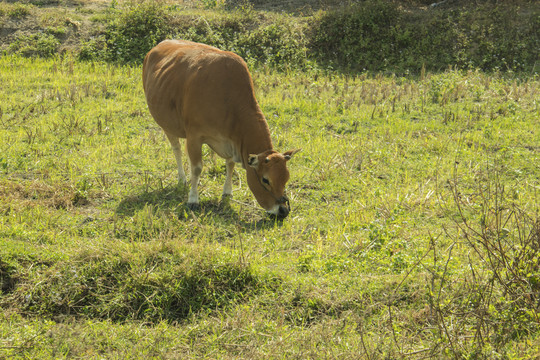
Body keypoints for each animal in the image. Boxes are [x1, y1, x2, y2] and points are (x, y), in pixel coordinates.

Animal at [141, 40, 300, 218]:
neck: (228, 99)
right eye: (266, 180)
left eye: (286, 178)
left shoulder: (231, 140)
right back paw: (182, 179)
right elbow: (196, 168)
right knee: (177, 150)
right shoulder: (194, 136)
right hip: (167, 125)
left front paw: (227, 192)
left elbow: (230, 165)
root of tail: (161, 44)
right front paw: (193, 199)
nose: (283, 210)